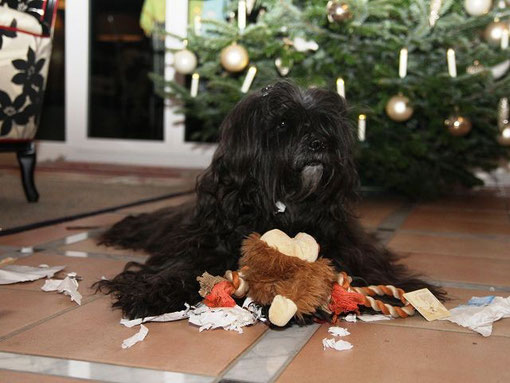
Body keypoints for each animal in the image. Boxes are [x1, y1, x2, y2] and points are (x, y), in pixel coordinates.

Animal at [96, 82, 442, 320]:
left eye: (324, 124)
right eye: (283, 124)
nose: (320, 143)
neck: (283, 207)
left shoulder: (348, 243)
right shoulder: (205, 243)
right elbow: (181, 266)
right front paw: (149, 291)